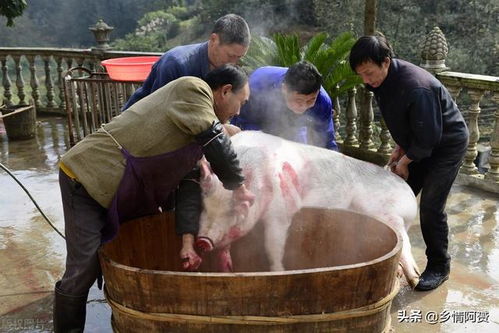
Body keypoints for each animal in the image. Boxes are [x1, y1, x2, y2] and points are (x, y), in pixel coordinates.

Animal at [195, 130, 422, 286]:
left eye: (236, 209)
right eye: (203, 207)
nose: (203, 241)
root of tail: (406, 189)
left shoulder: (281, 210)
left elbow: (273, 245)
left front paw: (278, 273)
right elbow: (226, 247)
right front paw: (226, 269)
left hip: (389, 214)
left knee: (405, 243)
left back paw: (415, 280)